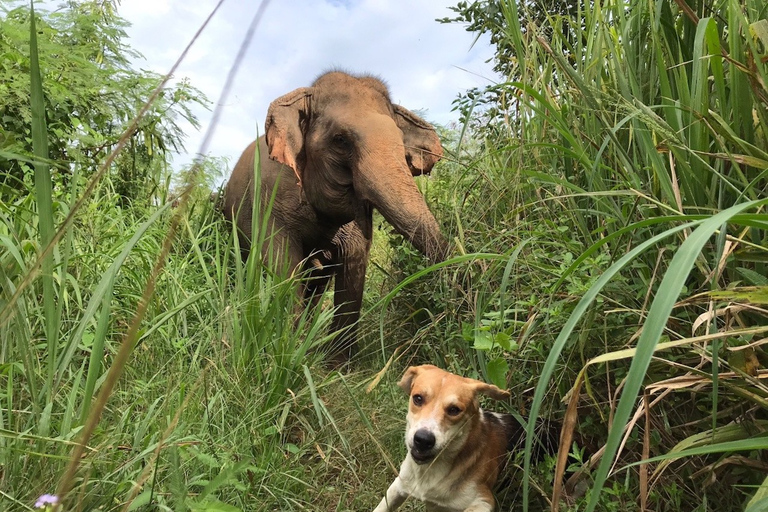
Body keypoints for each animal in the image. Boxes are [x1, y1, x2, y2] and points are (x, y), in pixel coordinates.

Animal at [222, 70, 448, 362]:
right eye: (341, 140)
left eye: (401, 144)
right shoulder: (268, 202)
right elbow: (283, 266)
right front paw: (287, 352)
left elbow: (353, 266)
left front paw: (336, 365)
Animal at [372, 364, 544, 512]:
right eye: (418, 398)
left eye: (454, 410)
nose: (423, 440)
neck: (429, 470)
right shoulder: (399, 486)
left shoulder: (483, 500)